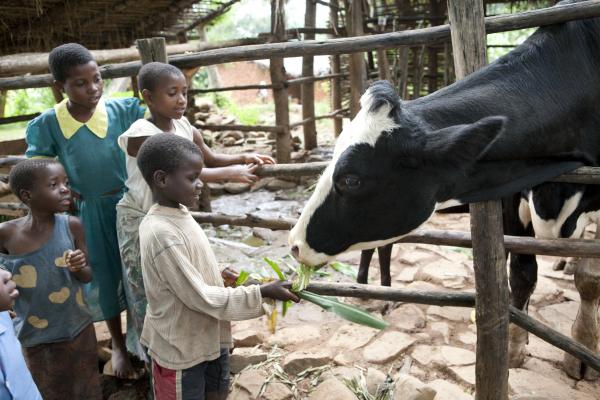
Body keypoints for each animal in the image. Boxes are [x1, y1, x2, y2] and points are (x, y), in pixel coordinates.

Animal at [290, 0, 600, 376]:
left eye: (351, 179)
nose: (294, 244)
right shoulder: (512, 190)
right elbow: (522, 272)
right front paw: (515, 345)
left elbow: (588, 278)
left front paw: (580, 350)